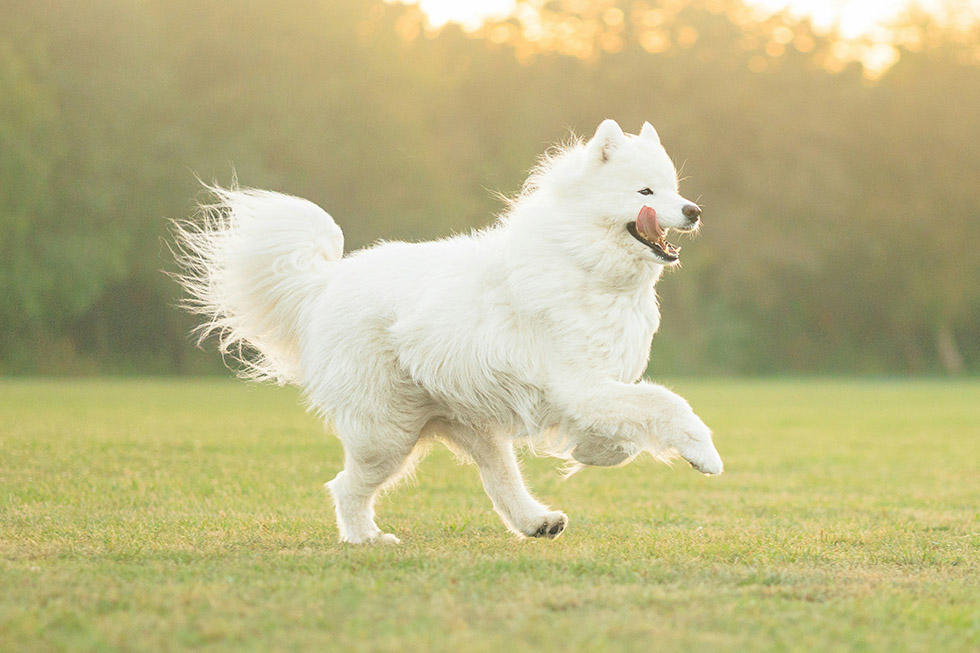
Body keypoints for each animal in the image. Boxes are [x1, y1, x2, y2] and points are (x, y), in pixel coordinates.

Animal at [174, 119, 720, 544]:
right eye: (645, 193)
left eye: (673, 188)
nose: (694, 210)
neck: (581, 260)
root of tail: (325, 285)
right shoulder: (580, 385)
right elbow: (668, 403)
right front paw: (704, 455)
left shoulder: (594, 388)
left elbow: (628, 430)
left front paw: (591, 451)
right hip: (386, 435)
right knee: (345, 486)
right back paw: (365, 538)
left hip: (472, 426)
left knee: (500, 483)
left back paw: (536, 521)